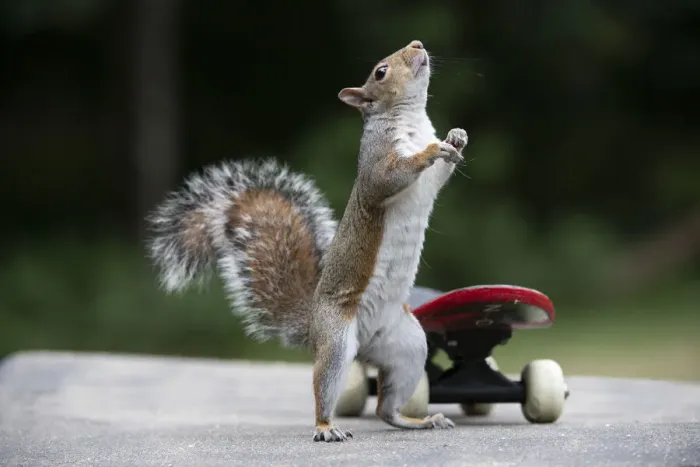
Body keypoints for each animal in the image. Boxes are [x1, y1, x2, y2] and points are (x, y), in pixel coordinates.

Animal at [146, 39, 468, 442]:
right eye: (380, 71)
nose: (417, 44)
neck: (410, 120)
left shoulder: (430, 180)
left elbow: (440, 175)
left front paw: (456, 138)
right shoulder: (377, 165)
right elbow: (391, 177)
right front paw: (430, 151)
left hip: (408, 345)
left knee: (385, 408)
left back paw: (419, 420)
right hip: (337, 342)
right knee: (324, 386)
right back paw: (326, 427)